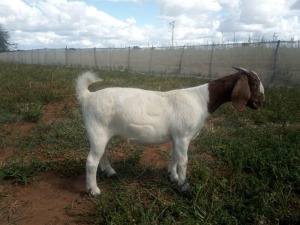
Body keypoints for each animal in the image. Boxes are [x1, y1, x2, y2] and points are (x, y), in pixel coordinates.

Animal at [76, 67, 264, 195]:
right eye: (254, 83)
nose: (261, 102)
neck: (201, 100)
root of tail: (88, 96)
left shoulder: (176, 136)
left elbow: (174, 156)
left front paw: (172, 176)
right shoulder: (183, 136)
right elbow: (183, 161)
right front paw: (184, 186)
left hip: (102, 133)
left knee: (102, 153)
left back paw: (110, 172)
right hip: (97, 130)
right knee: (91, 161)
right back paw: (94, 190)